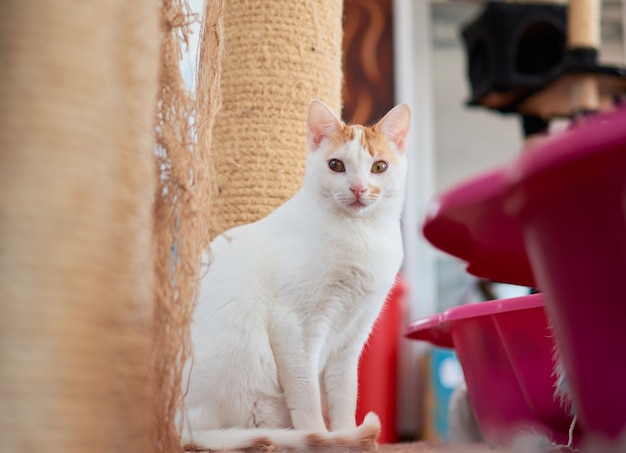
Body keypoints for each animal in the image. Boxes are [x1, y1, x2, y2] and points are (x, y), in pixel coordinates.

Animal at [179, 100, 410, 450]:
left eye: (379, 167)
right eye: (336, 165)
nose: (358, 188)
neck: (362, 235)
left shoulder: (352, 337)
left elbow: (345, 396)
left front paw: (345, 434)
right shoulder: (295, 328)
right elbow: (307, 397)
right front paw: (323, 436)